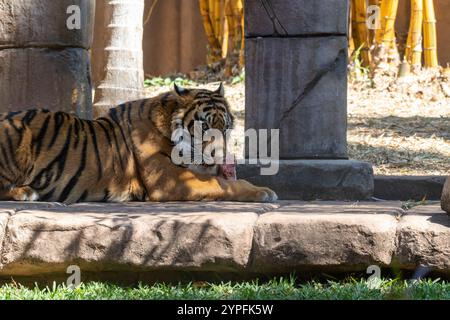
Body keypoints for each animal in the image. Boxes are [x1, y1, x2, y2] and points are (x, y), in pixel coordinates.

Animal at [0, 84, 278, 204]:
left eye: (226, 127)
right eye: (205, 126)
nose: (220, 156)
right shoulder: (170, 180)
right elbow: (221, 184)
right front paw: (264, 192)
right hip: (18, 133)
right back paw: (25, 192)